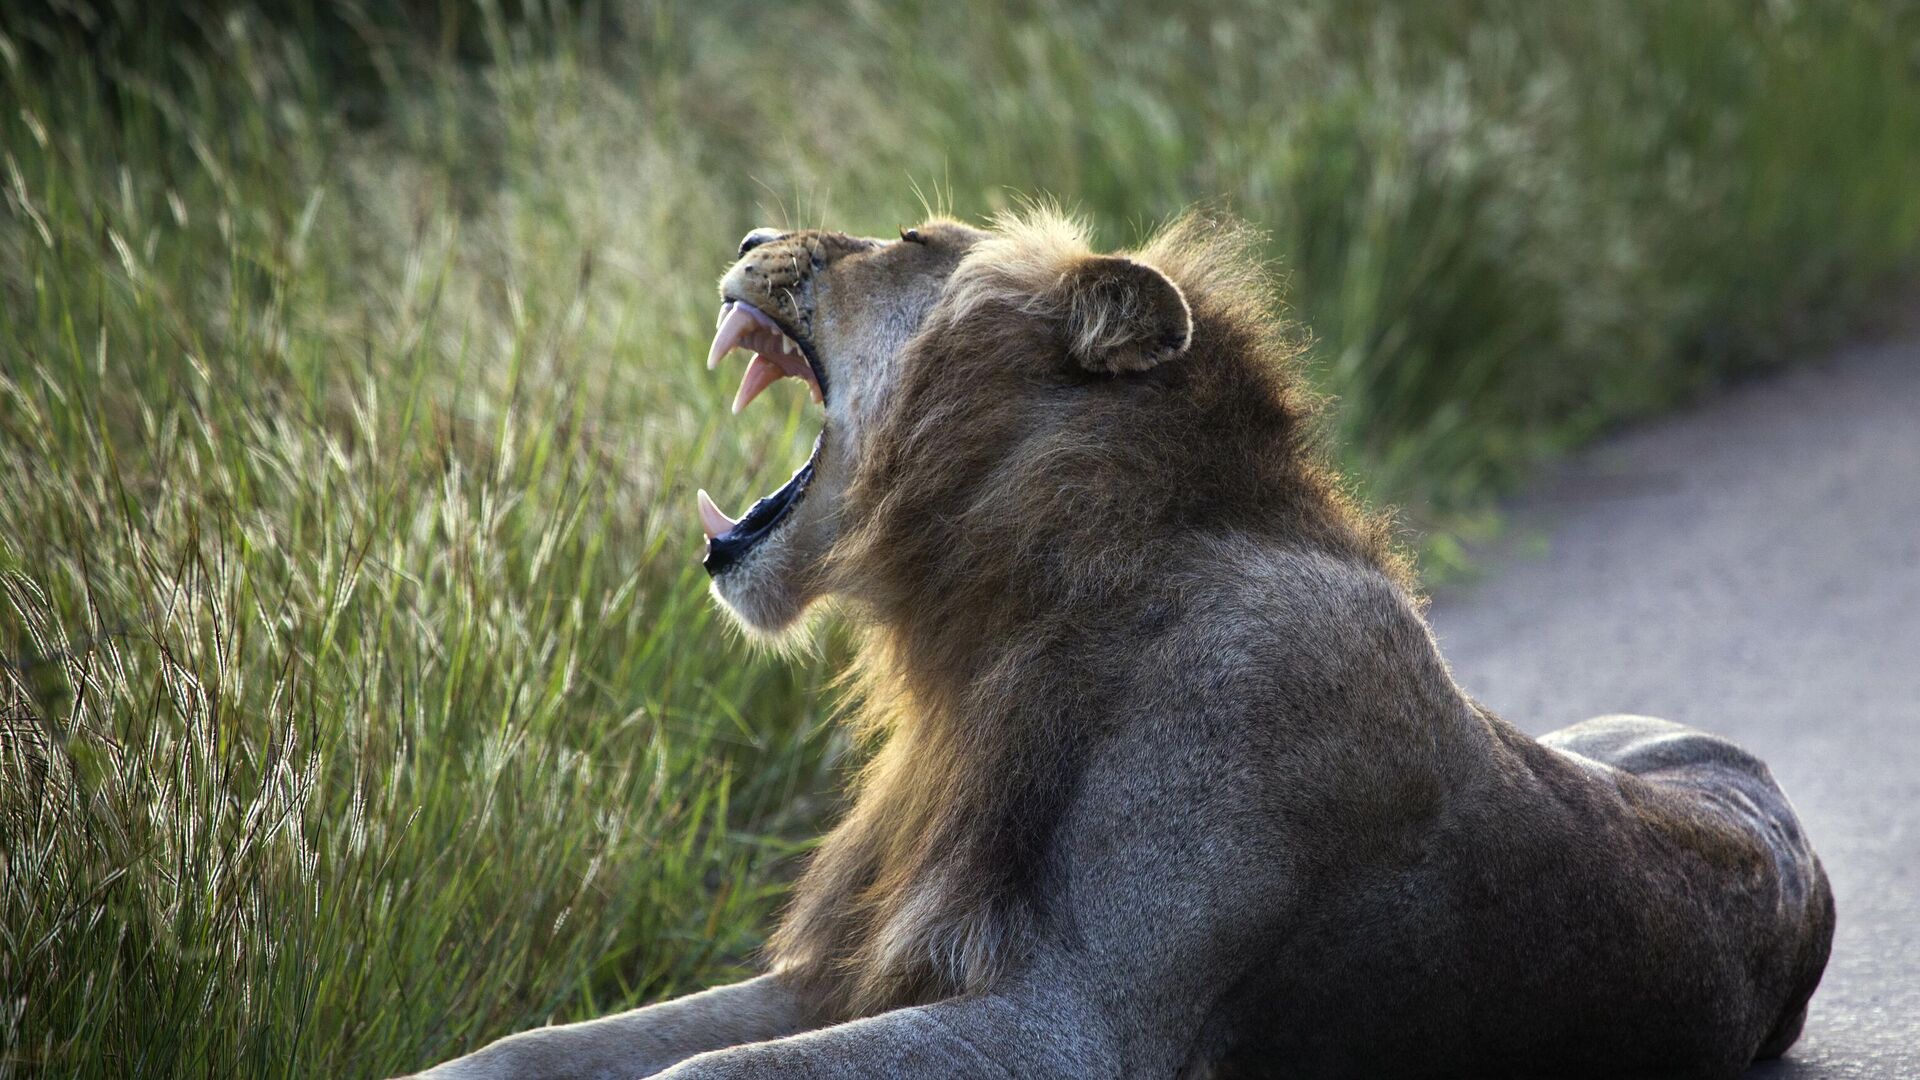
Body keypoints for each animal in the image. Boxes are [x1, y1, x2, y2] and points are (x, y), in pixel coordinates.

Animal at [414, 211, 1833, 1079]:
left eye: (910, 244)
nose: (753, 237)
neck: (994, 623)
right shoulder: (860, 964)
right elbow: (527, 1049)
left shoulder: (1081, 1025)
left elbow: (699, 1067)